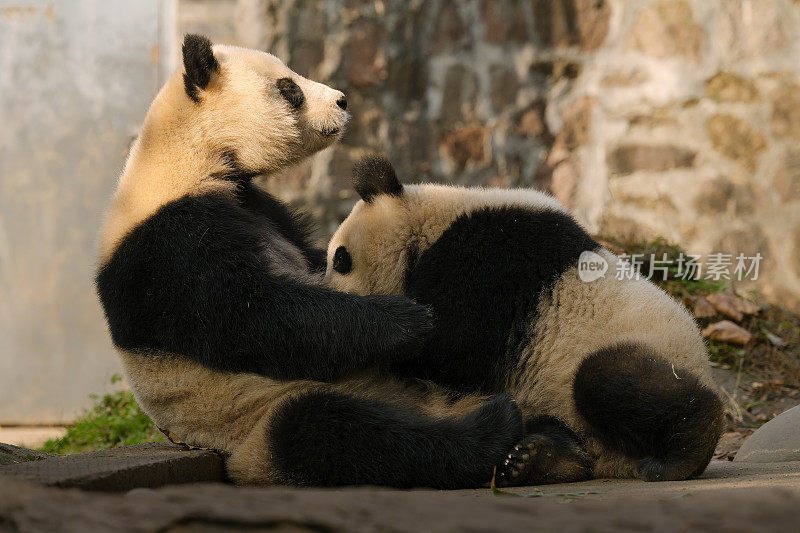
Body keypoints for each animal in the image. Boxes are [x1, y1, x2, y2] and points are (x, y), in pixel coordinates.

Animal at [95, 35, 524, 488]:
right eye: (289, 88)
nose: (342, 99)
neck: (188, 152)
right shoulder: (168, 241)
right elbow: (251, 315)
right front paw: (407, 320)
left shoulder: (257, 204)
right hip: (254, 414)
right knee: (333, 429)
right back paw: (496, 430)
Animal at [324, 155, 724, 486]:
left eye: (340, 259)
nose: (329, 290)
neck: (430, 221)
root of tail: (613, 462)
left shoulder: (486, 259)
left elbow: (456, 347)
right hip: (542, 404)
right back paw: (538, 459)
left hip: (648, 347)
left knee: (609, 377)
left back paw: (685, 451)